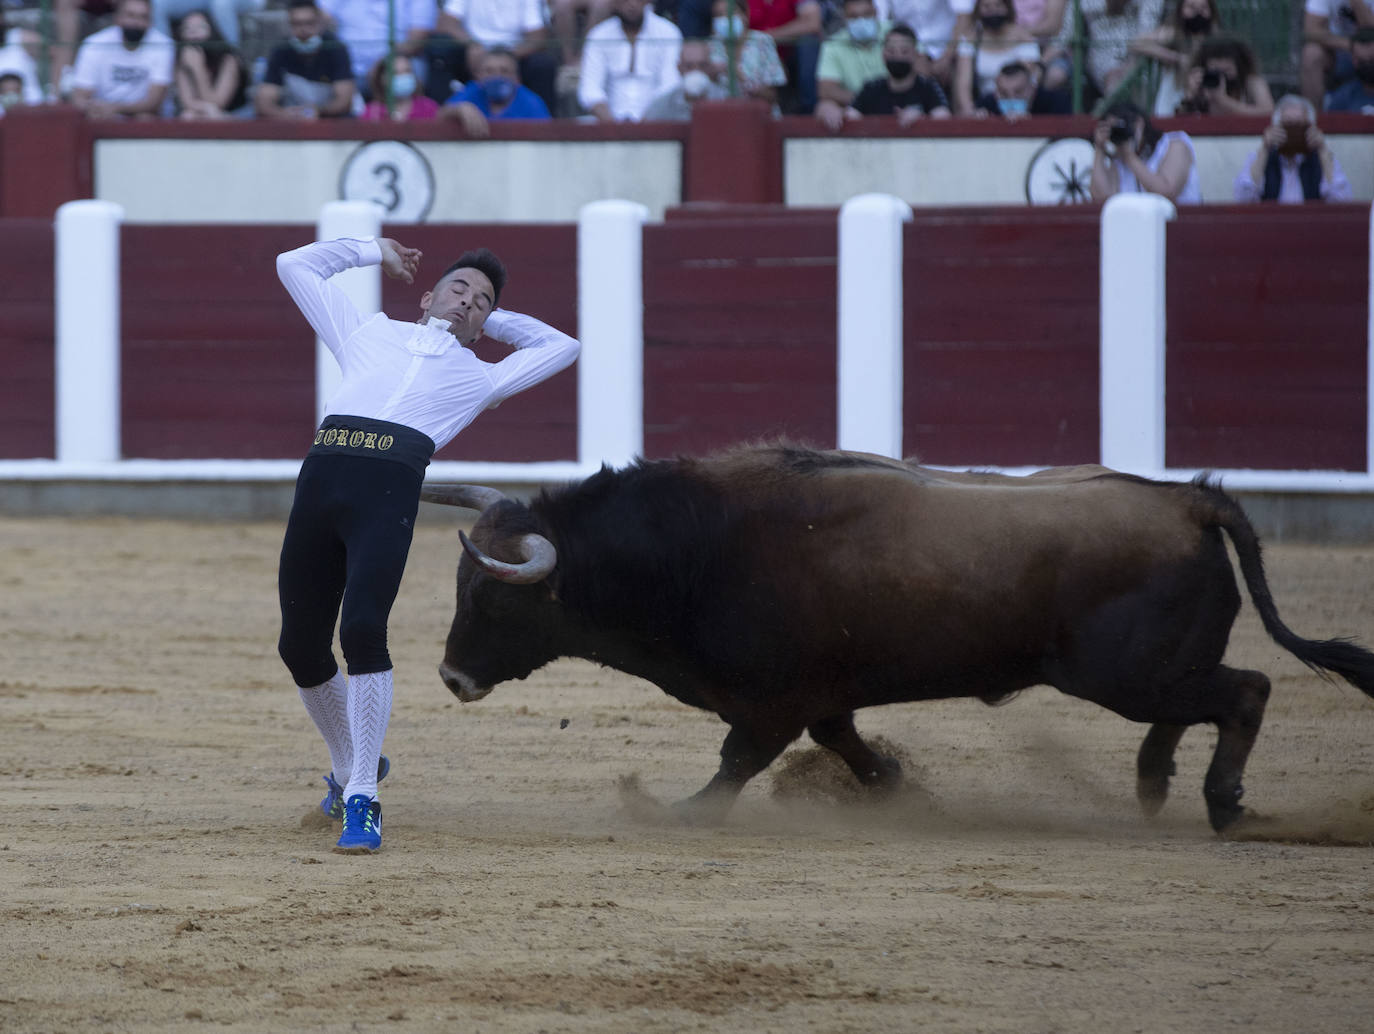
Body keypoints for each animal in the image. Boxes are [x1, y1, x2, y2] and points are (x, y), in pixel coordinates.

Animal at [420, 444, 1374, 829]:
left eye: (495, 602)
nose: (452, 678)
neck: (695, 546)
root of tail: (1191, 499)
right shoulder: (820, 693)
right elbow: (845, 742)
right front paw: (901, 791)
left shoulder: (775, 697)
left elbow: (738, 760)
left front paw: (677, 810)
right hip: (1151, 669)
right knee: (1200, 701)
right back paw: (1150, 785)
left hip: (1125, 672)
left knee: (1245, 690)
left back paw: (1223, 803)